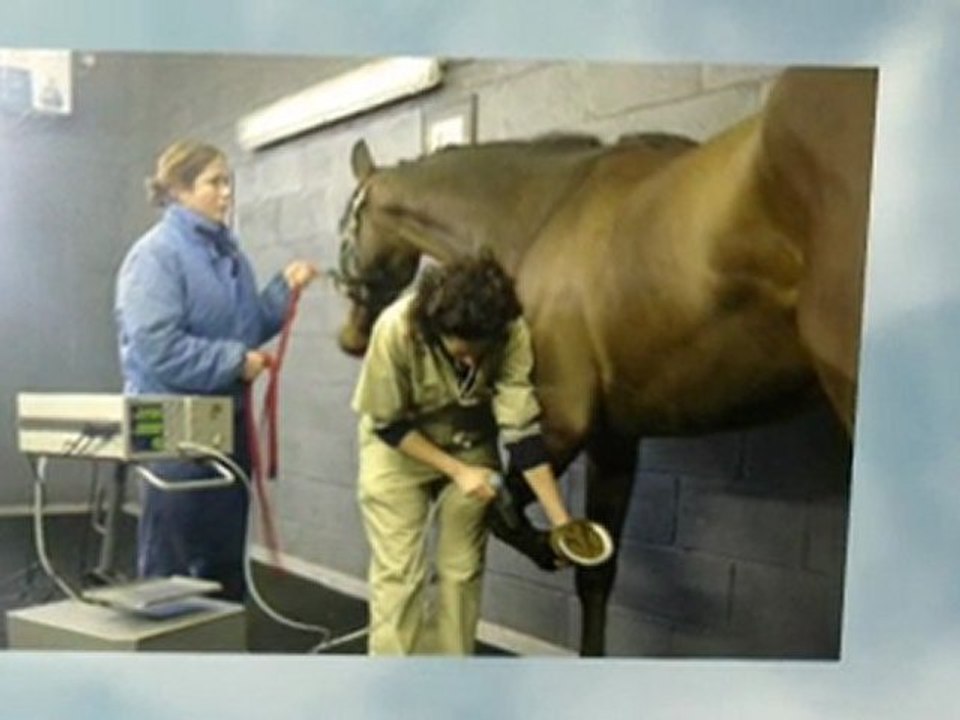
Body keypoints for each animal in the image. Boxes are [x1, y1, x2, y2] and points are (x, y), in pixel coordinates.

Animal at [331, 67, 877, 656]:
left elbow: (502, 509)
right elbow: (596, 574)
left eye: (347, 225)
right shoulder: (613, 439)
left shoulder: (562, 420)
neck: (544, 212)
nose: (350, 336)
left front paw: (549, 544)